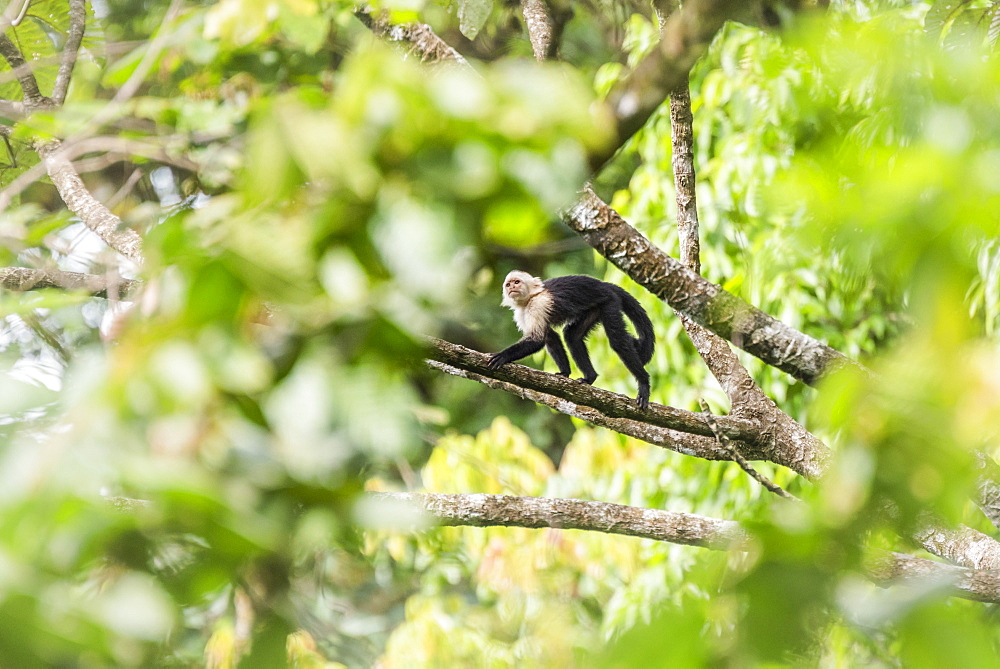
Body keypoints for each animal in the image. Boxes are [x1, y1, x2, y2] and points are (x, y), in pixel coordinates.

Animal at [490, 270, 656, 408]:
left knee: (618, 341)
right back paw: (590, 377)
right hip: (595, 308)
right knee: (572, 336)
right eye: (508, 284)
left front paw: (503, 356)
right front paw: (564, 373)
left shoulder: (538, 305)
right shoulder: (522, 314)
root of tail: (604, 284)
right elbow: (550, 337)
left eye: (517, 282)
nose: (511, 288)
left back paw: (643, 382)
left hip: (610, 301)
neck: (530, 298)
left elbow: (537, 340)